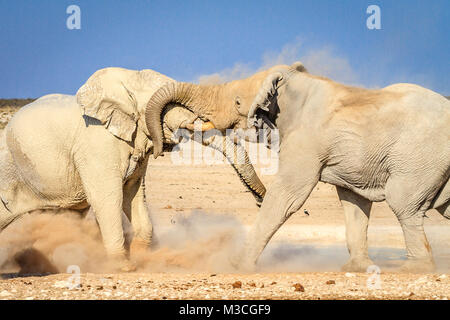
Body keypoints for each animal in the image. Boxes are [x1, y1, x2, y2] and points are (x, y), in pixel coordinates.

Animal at [0, 67, 268, 270]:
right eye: (165, 106)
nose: (259, 201)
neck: (125, 81)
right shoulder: (96, 143)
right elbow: (108, 198)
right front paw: (123, 267)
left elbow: (134, 195)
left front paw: (143, 258)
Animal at [225, 61, 450, 272]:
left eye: (237, 102)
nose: (258, 200)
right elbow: (354, 202)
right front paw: (357, 269)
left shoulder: (307, 141)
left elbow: (288, 194)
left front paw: (237, 266)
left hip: (420, 156)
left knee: (403, 203)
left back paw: (414, 268)